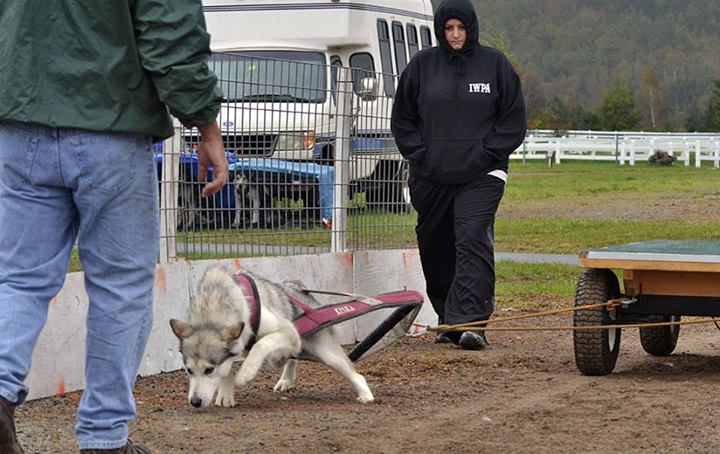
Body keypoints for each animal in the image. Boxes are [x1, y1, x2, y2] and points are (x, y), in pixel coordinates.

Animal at [169, 262, 372, 408]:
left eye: (209, 370)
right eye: (189, 370)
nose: (194, 402)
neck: (213, 303)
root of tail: (297, 290)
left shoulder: (287, 331)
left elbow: (261, 345)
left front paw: (245, 374)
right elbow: (228, 368)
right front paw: (226, 393)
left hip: (326, 353)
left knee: (355, 374)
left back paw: (365, 395)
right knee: (291, 356)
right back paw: (286, 378)